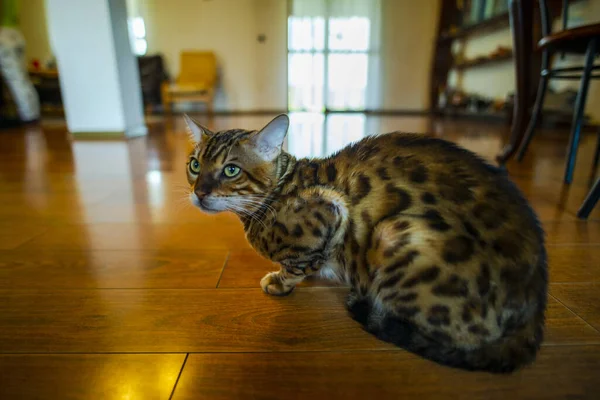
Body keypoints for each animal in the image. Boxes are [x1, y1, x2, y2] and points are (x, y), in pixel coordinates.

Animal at [185, 114, 548, 374]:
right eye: (195, 165)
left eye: (231, 170)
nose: (199, 192)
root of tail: (534, 314)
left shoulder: (332, 211)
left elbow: (299, 264)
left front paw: (281, 282)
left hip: (395, 236)